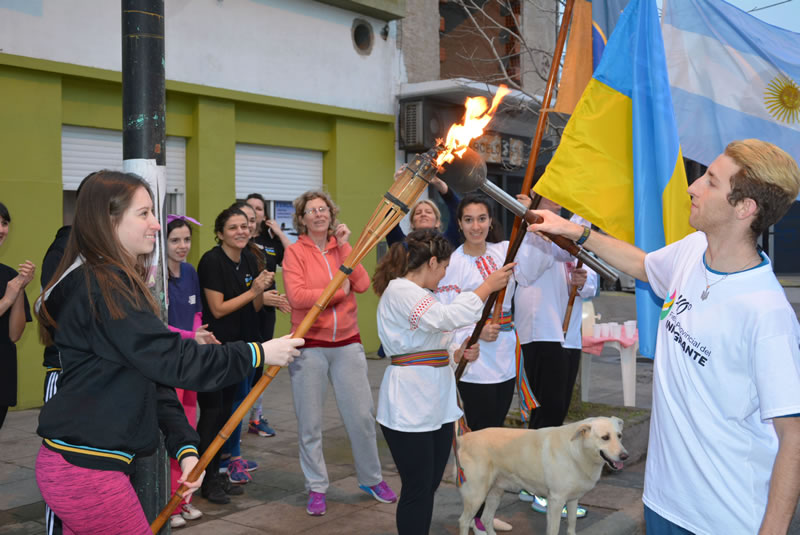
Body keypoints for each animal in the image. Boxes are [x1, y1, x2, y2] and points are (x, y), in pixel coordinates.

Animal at [457, 416, 628, 535]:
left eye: (619, 436)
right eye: (605, 437)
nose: (625, 456)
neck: (578, 450)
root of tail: (464, 438)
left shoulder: (572, 499)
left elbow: (571, 524)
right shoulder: (556, 501)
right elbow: (554, 529)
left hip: (495, 492)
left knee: (486, 519)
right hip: (477, 494)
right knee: (464, 521)